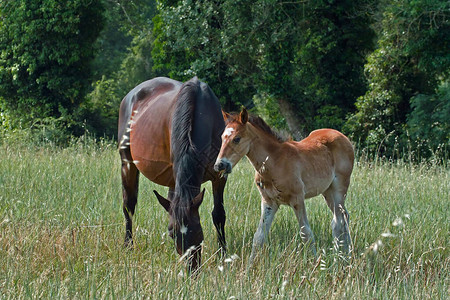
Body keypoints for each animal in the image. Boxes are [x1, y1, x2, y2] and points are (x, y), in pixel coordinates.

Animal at [118, 76, 227, 270]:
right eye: (172, 234)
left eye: (198, 231)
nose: (192, 268)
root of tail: (130, 96)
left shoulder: (219, 176)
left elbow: (219, 215)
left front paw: (223, 254)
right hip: (127, 164)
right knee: (128, 206)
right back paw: (128, 245)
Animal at [214, 108, 356, 262]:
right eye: (221, 138)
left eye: (237, 138)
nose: (219, 165)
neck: (275, 162)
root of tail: (342, 136)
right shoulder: (269, 202)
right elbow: (259, 237)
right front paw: (249, 267)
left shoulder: (298, 199)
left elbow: (306, 233)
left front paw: (314, 264)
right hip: (327, 191)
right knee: (343, 217)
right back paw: (345, 255)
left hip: (339, 188)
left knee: (338, 221)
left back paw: (340, 257)